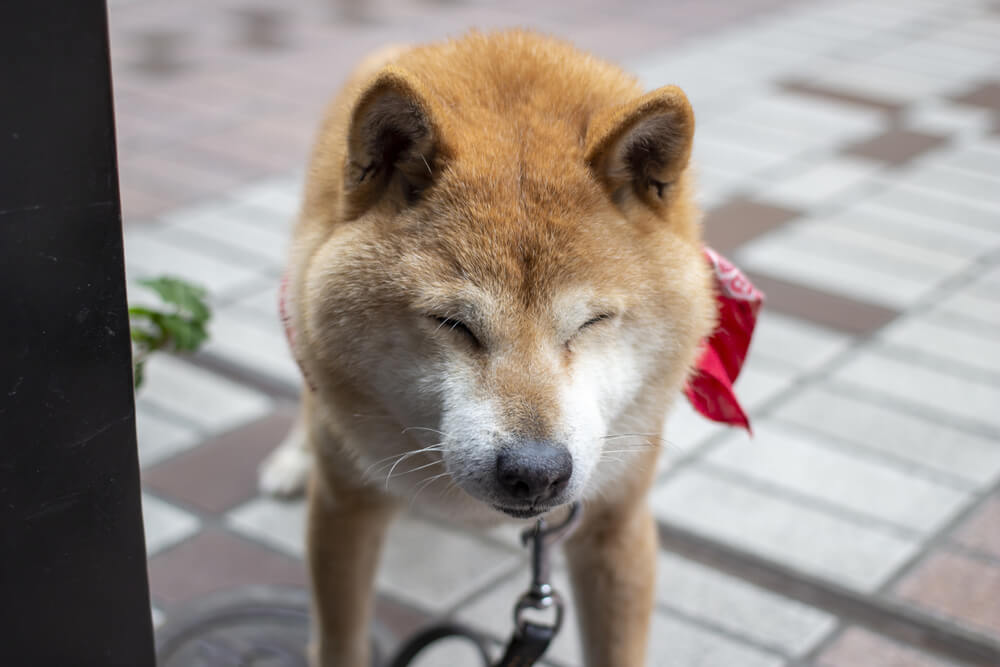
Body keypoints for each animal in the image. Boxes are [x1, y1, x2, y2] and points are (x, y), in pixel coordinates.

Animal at [258, 30, 728, 667]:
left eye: (593, 321)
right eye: (453, 323)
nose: (536, 473)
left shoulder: (616, 525)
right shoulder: (343, 509)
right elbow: (341, 642)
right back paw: (291, 459)